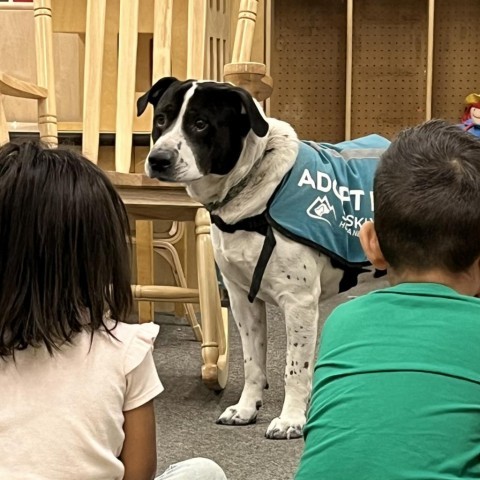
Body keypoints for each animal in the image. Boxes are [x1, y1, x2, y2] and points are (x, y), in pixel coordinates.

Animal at [137, 78, 384, 438]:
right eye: (161, 119)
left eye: (201, 123)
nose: (159, 159)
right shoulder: (242, 298)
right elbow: (253, 362)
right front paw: (246, 408)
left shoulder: (299, 303)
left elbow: (295, 369)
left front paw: (292, 418)